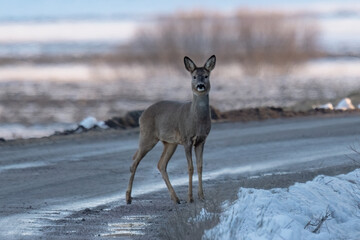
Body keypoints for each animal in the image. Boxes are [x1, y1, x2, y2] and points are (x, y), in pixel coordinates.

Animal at [126, 55, 217, 203]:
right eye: (194, 76)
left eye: (206, 76)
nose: (200, 86)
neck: (196, 120)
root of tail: (141, 116)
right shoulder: (186, 139)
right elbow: (190, 167)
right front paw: (190, 198)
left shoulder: (202, 140)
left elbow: (200, 166)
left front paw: (202, 196)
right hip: (147, 136)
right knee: (134, 163)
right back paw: (128, 198)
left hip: (170, 143)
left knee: (161, 164)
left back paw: (175, 198)